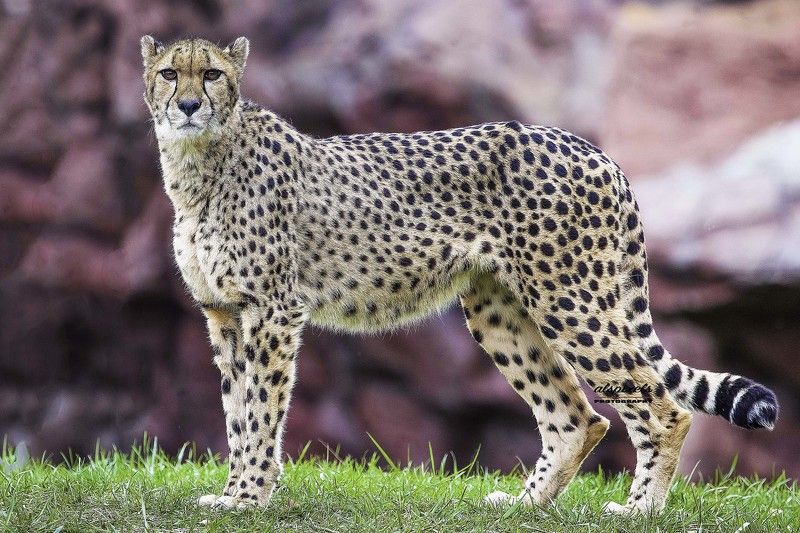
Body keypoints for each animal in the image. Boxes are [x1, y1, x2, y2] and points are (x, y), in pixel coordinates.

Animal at [141, 35, 779, 514]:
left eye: (213, 74)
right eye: (170, 74)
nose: (189, 106)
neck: (200, 165)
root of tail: (589, 146)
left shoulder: (271, 310)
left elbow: (260, 408)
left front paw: (249, 497)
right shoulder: (224, 313)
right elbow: (237, 412)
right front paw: (236, 494)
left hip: (569, 298)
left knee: (661, 406)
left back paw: (640, 509)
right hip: (499, 308)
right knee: (577, 415)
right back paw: (525, 505)